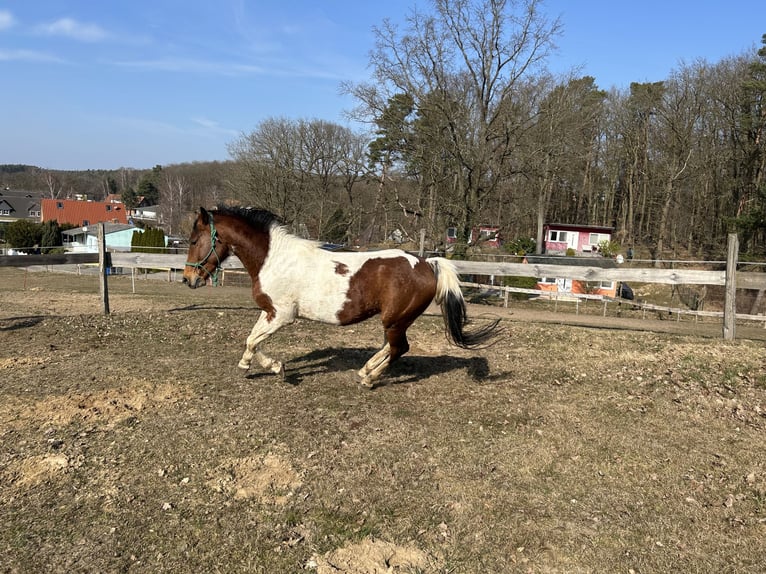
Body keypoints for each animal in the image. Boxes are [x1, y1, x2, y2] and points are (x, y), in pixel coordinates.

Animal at [182, 206, 499, 388]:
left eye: (194, 240)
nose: (188, 279)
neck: (274, 258)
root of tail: (427, 263)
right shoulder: (269, 311)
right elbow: (252, 339)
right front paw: (255, 366)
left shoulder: (283, 316)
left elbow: (253, 339)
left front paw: (275, 368)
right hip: (394, 321)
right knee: (391, 347)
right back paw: (365, 370)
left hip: (396, 320)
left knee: (400, 348)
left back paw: (369, 378)